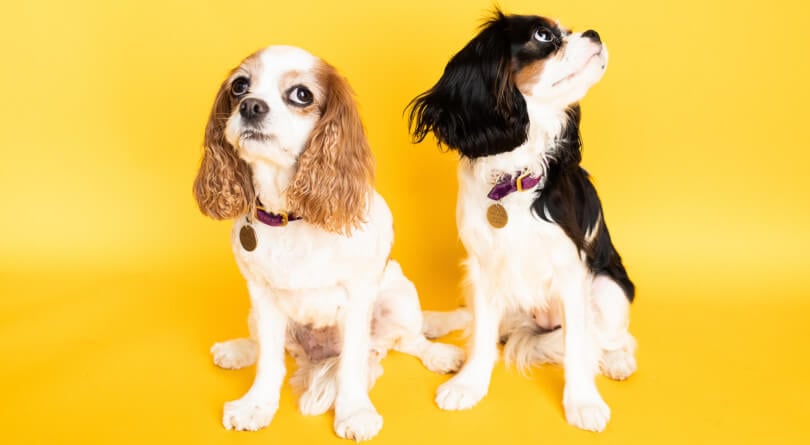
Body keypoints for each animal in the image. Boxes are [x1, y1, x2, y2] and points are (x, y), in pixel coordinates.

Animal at [192, 45, 464, 440]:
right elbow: (270, 361)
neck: (291, 214)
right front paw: (256, 405)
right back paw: (238, 350)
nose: (251, 106)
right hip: (257, 315)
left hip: (399, 298)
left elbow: (352, 364)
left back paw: (439, 355)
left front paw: (354, 413)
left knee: (408, 341)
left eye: (301, 94)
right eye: (240, 86)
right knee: (272, 348)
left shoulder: (357, 297)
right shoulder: (263, 296)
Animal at [408, 10, 636, 432]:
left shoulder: (571, 271)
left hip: (608, 290)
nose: (594, 32)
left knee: (615, 337)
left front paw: (583, 402)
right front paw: (469, 384)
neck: (515, 174)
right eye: (543, 35)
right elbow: (482, 333)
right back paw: (434, 320)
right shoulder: (483, 266)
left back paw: (618, 360)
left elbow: (578, 345)